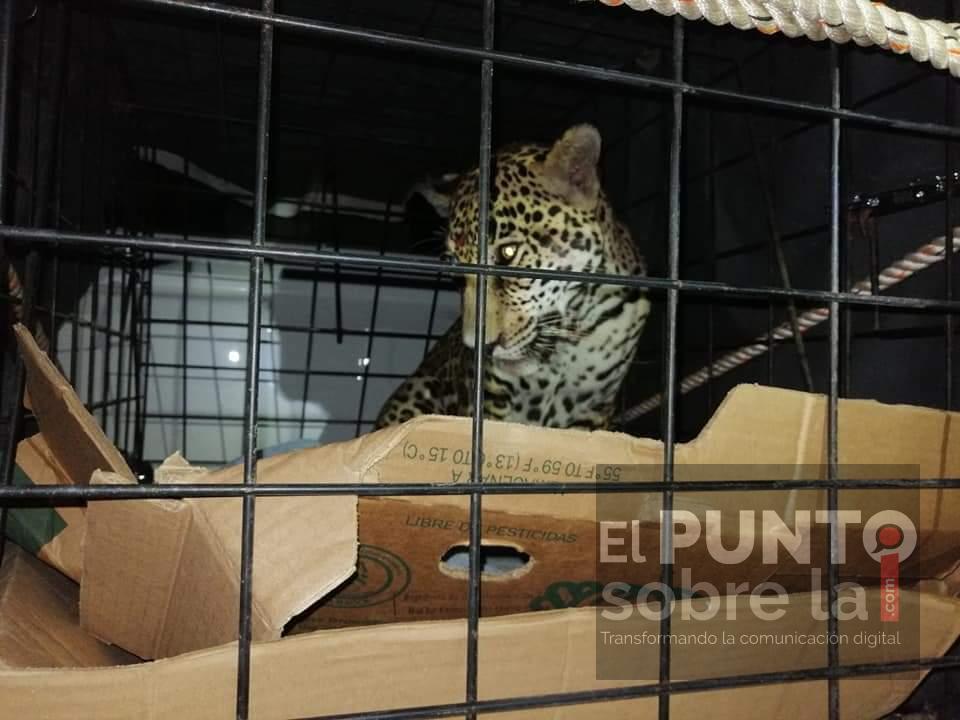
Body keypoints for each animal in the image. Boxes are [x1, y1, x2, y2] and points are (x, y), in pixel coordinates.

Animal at [375, 123, 650, 432]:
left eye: (508, 253)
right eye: (457, 271)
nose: (482, 348)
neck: (571, 341)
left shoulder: (594, 408)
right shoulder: (488, 399)